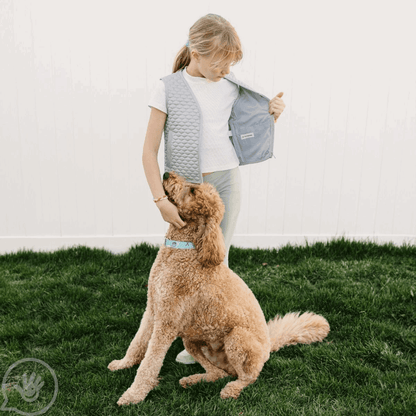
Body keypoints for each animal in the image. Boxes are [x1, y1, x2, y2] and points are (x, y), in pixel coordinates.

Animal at [109, 171, 330, 404]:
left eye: (192, 191)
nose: (167, 174)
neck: (183, 252)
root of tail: (269, 345)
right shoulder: (152, 308)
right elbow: (137, 343)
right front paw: (123, 364)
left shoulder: (167, 322)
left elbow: (149, 362)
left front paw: (133, 395)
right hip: (191, 339)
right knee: (218, 373)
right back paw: (195, 379)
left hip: (237, 338)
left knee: (248, 377)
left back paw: (231, 389)